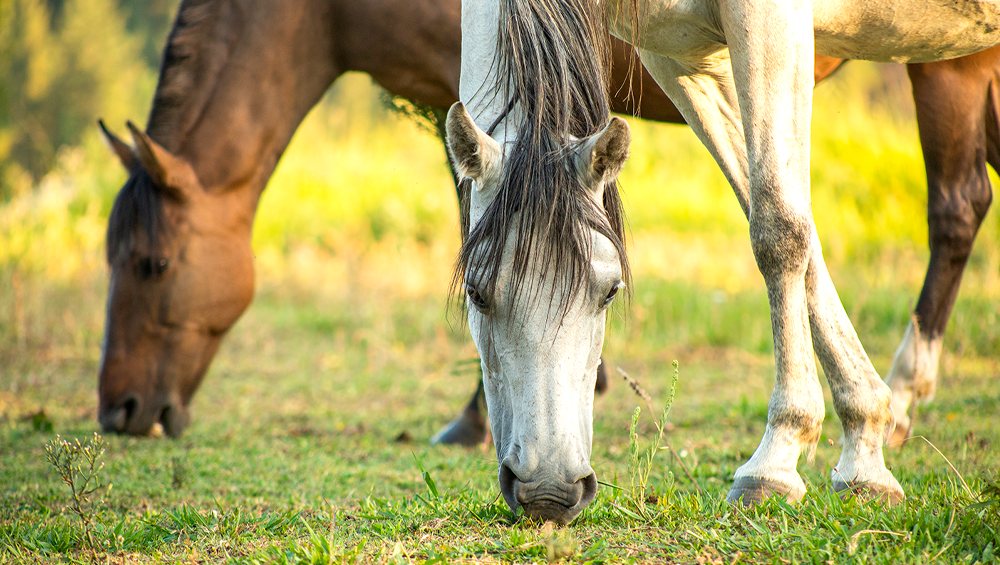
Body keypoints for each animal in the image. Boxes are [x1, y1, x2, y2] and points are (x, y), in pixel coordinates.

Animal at [97, 0, 996, 440]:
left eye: (152, 265)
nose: (118, 412)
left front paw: (479, 412)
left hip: (949, 61)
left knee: (956, 207)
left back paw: (905, 391)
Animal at [450, 0, 1000, 524]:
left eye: (610, 291)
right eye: (476, 292)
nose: (548, 491)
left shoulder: (771, 21)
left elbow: (780, 229)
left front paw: (777, 458)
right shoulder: (681, 58)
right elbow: (793, 230)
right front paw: (865, 449)